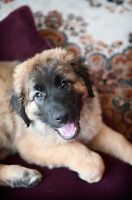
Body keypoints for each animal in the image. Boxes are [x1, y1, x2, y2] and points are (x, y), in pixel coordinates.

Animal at [0, 48, 132, 188]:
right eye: (38, 94)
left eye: (64, 84)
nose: (62, 117)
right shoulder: (28, 146)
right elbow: (75, 149)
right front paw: (92, 169)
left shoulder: (93, 128)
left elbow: (119, 140)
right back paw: (25, 175)